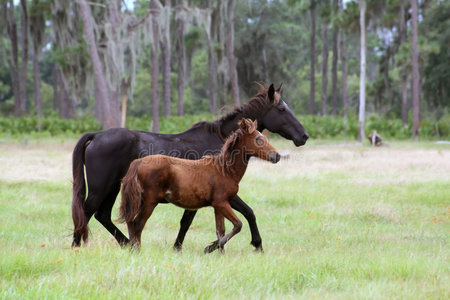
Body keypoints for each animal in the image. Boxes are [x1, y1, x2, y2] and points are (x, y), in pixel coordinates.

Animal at [121, 118, 280, 252]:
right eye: (258, 139)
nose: (277, 156)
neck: (224, 170)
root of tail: (138, 162)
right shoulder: (222, 203)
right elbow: (238, 225)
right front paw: (210, 248)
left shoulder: (218, 206)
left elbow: (220, 230)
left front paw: (219, 253)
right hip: (150, 201)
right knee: (138, 224)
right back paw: (137, 251)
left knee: (131, 222)